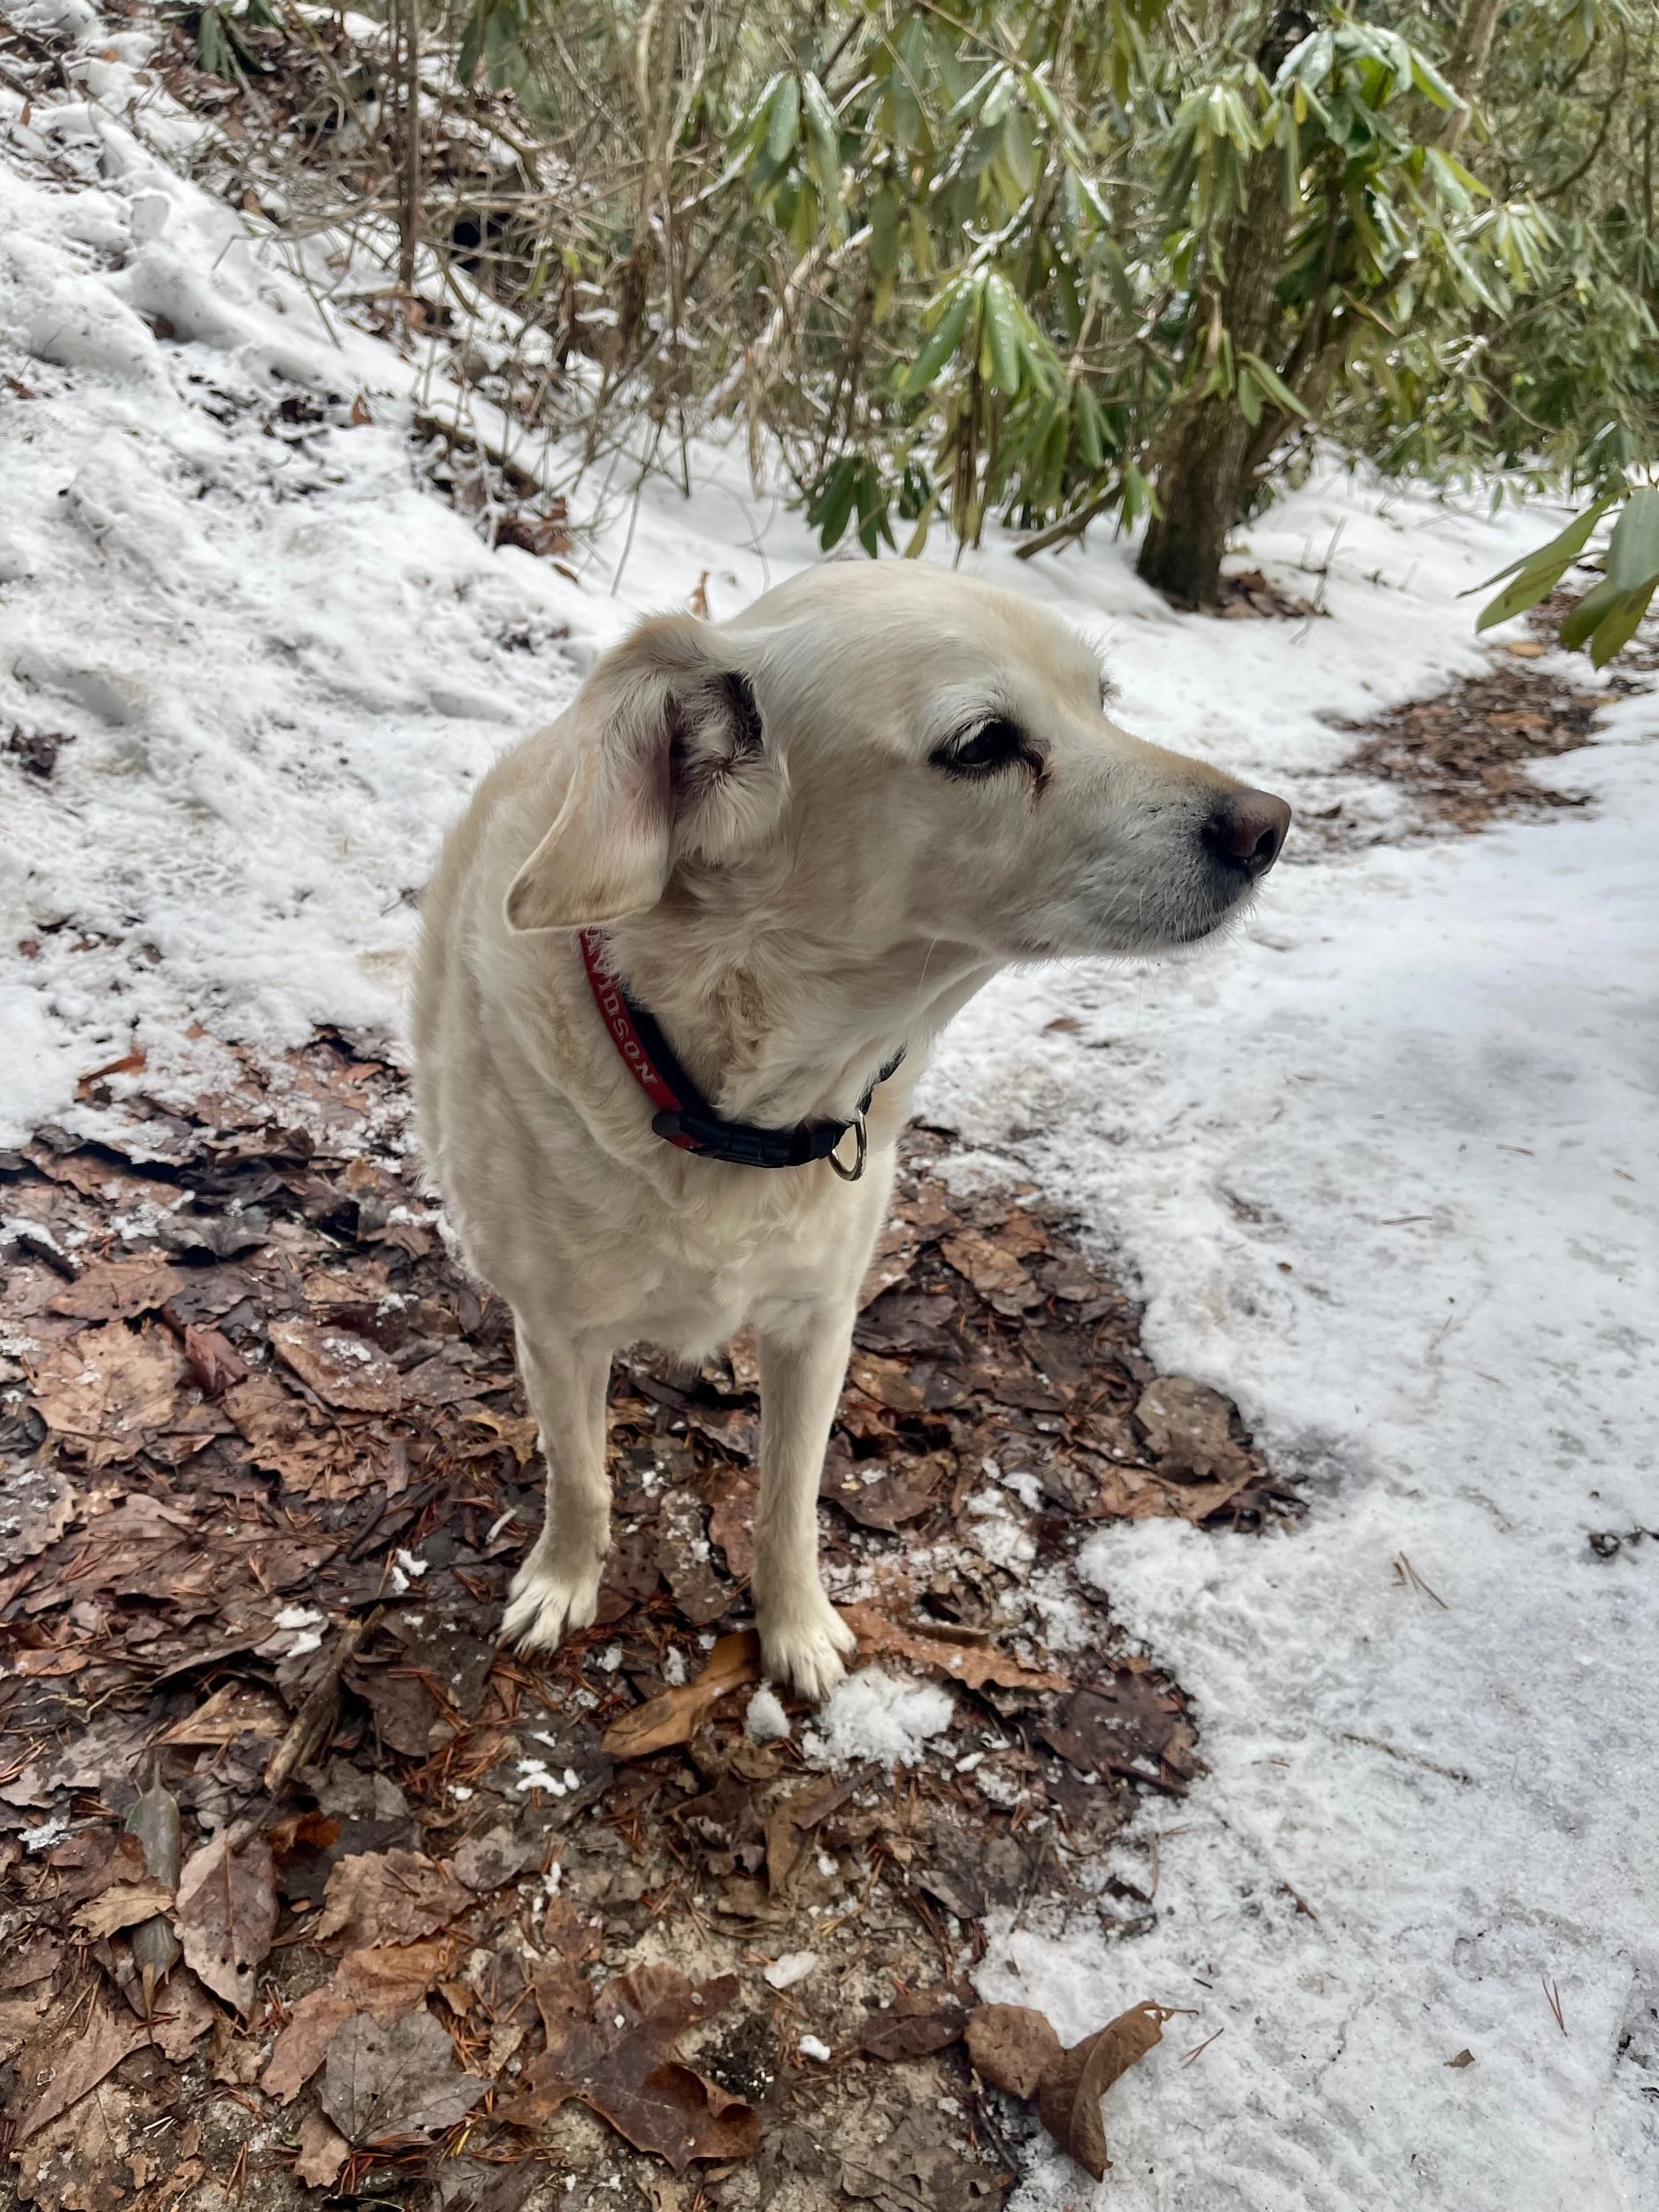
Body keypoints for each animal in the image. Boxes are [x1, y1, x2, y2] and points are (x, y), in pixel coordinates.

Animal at [413, 562, 1289, 1699]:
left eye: (1103, 700)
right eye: (983, 743)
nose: (1270, 826)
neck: (724, 1102)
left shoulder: (818, 1325)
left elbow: (788, 1501)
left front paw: (794, 1626)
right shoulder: (558, 1334)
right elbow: (581, 1475)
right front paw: (565, 1579)